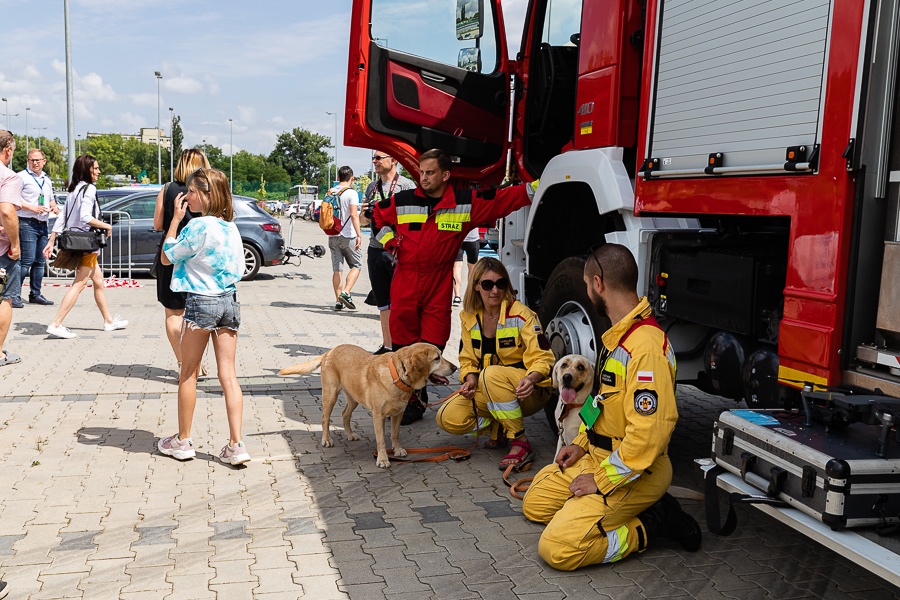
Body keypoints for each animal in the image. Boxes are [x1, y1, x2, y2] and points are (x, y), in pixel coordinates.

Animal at [279, 343, 457, 468]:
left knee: (345, 414)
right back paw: (327, 439)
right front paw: (383, 459)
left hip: (354, 398)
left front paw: (397, 450)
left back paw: (350, 434)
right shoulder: (378, 416)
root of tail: (330, 351)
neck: (396, 377)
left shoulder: (398, 413)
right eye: (437, 358)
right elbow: (381, 440)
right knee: (325, 418)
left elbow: (395, 434)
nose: (455, 367)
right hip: (330, 394)